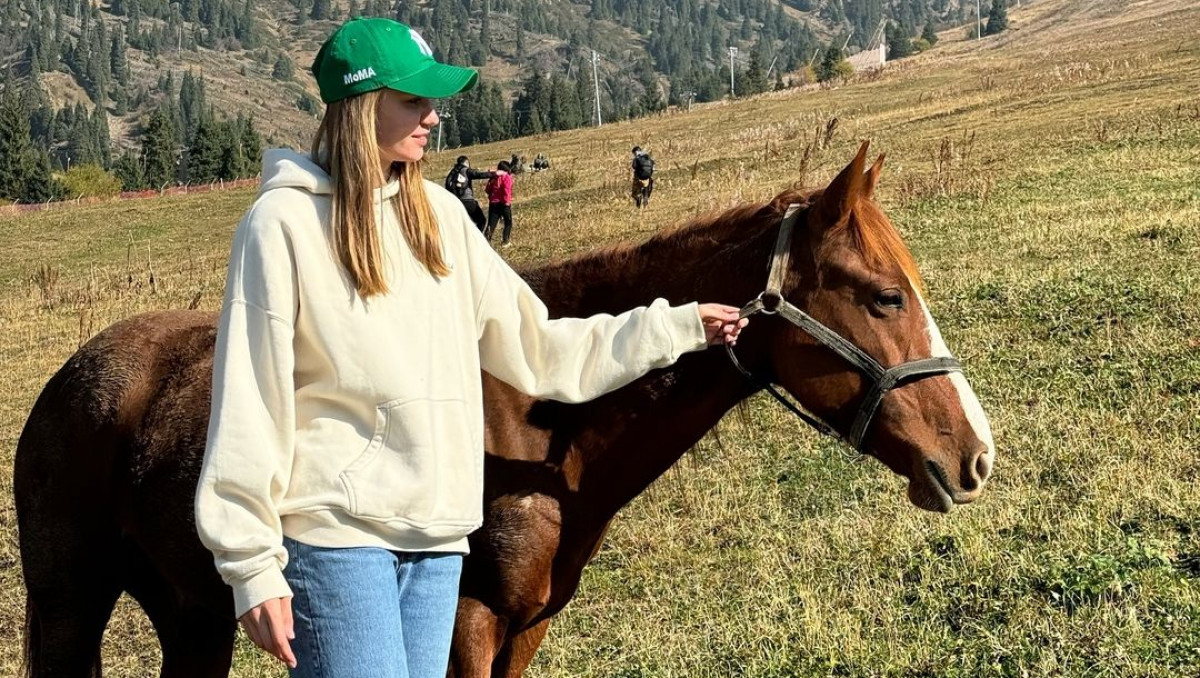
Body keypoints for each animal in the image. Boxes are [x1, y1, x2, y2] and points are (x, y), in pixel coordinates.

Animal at [16, 142, 993, 676]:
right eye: (882, 297)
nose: (974, 454)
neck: (540, 429)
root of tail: (74, 376)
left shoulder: (525, 629)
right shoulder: (466, 626)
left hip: (193, 613)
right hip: (68, 608)